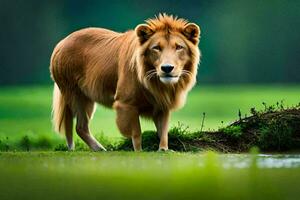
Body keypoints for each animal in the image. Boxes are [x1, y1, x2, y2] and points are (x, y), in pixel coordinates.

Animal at [50, 13, 200, 152]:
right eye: (156, 48)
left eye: (179, 47)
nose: (167, 68)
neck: (156, 83)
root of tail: (61, 42)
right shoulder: (126, 104)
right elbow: (136, 133)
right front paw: (139, 152)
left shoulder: (162, 104)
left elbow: (163, 132)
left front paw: (163, 150)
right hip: (75, 94)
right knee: (80, 127)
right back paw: (100, 148)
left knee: (80, 127)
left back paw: (99, 149)